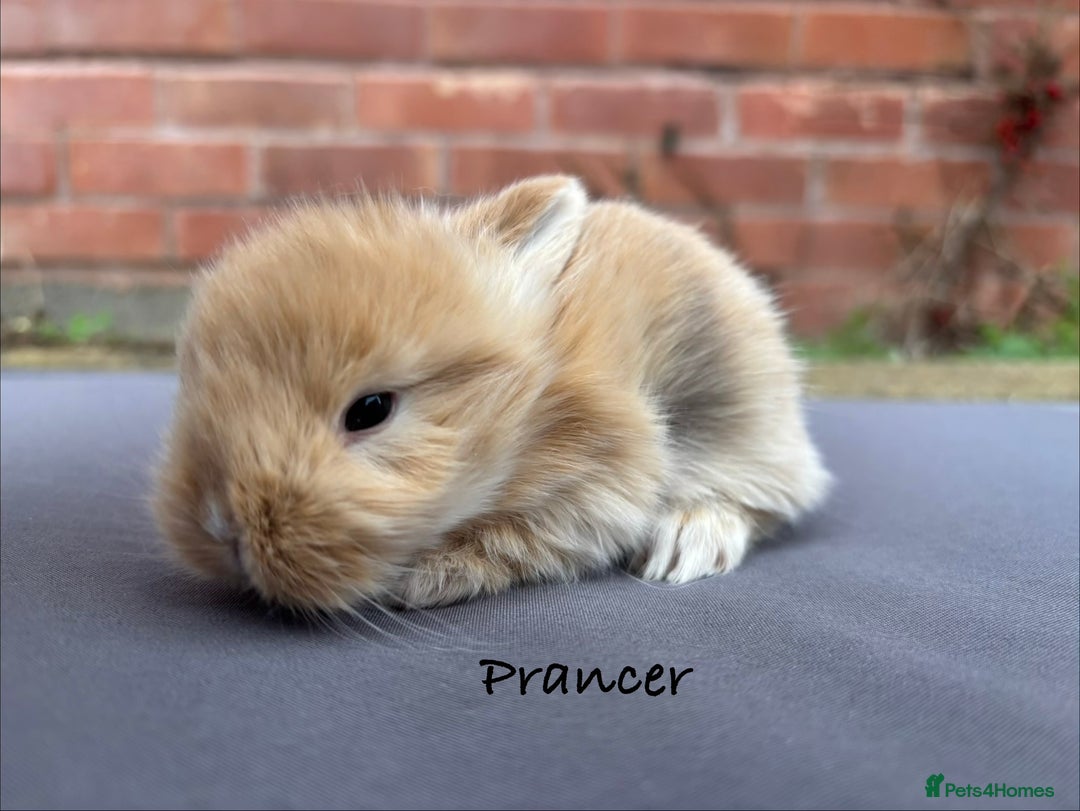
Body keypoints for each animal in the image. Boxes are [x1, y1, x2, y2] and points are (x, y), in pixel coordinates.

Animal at [152, 174, 831, 612]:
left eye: (370, 411)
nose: (221, 528)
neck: (530, 408)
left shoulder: (594, 485)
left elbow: (515, 540)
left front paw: (416, 582)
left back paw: (686, 545)